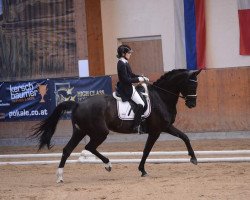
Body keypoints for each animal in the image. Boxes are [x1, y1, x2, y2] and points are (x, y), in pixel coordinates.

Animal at [31, 69, 202, 183]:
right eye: (191, 85)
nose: (192, 104)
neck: (160, 97)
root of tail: (78, 104)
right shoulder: (158, 130)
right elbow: (148, 150)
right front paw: (143, 170)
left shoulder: (163, 128)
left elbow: (184, 137)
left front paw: (193, 158)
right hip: (100, 132)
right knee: (89, 147)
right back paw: (108, 165)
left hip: (80, 132)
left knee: (67, 150)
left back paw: (60, 177)